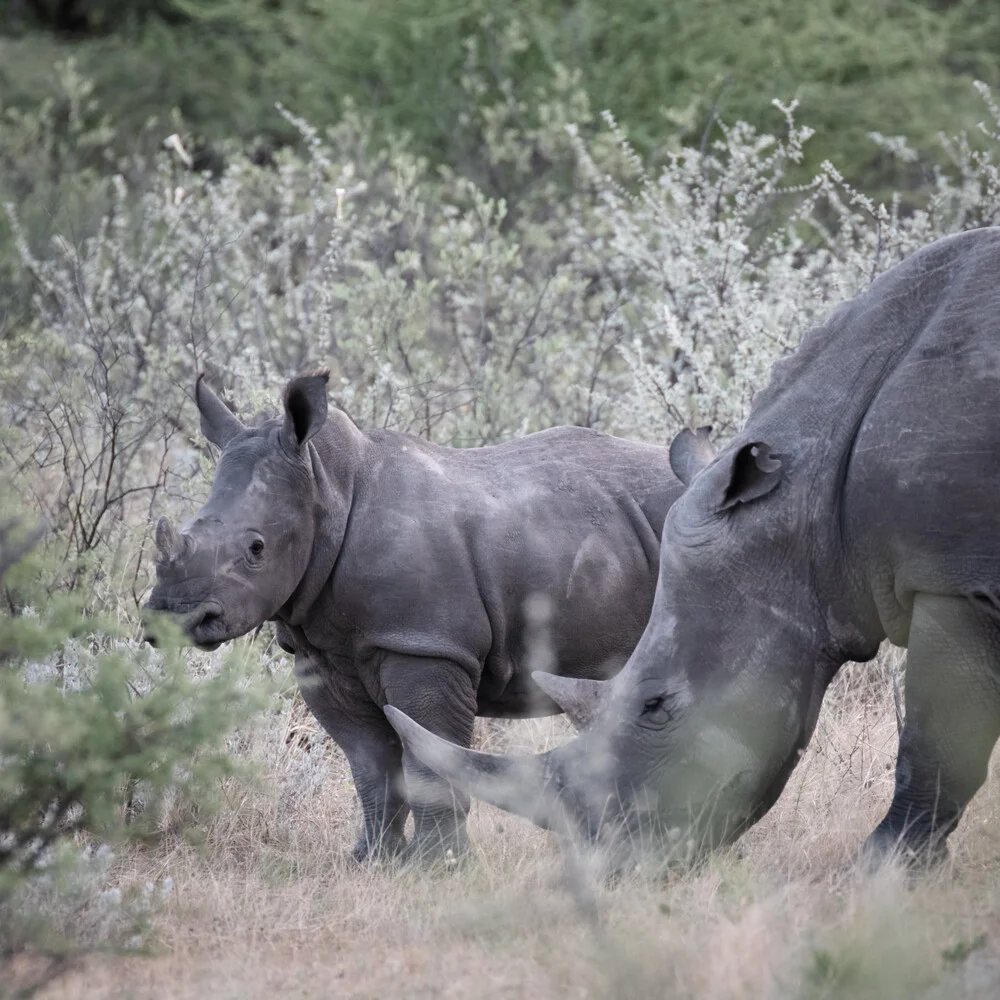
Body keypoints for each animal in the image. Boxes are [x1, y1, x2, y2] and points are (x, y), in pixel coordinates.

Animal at [146, 372, 704, 864]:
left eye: (256, 549)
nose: (172, 619)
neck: (328, 489)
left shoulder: (425, 644)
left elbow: (429, 762)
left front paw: (441, 865)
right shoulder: (321, 652)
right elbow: (369, 763)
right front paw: (372, 861)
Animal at [384, 227, 1000, 868]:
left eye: (656, 706)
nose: (614, 861)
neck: (808, 504)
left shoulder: (951, 583)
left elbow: (935, 745)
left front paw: (882, 869)